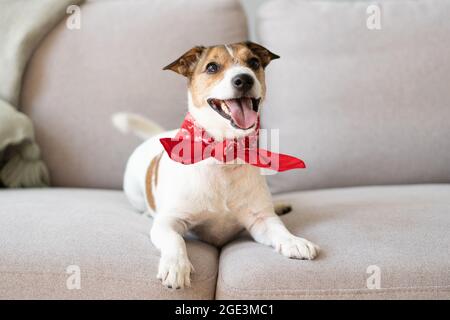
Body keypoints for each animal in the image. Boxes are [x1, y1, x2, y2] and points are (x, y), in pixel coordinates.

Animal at [114, 42, 318, 290]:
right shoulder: (169, 222)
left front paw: (293, 240)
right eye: (212, 67)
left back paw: (279, 205)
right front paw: (175, 265)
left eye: (254, 62)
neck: (224, 155)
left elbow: (278, 228)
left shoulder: (260, 220)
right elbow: (175, 239)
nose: (244, 79)